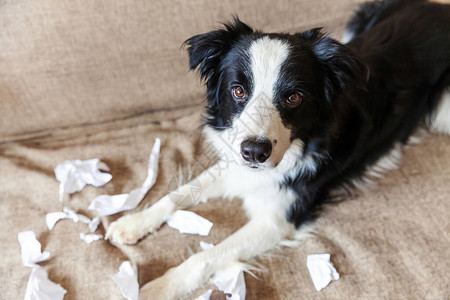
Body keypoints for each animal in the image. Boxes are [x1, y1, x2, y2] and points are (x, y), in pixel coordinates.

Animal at [106, 0, 450, 298]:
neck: (303, 141)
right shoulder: (237, 164)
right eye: (238, 90)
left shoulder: (278, 219)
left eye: (293, 97)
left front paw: (157, 287)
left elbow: (208, 256)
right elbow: (180, 192)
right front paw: (131, 223)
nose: (255, 153)